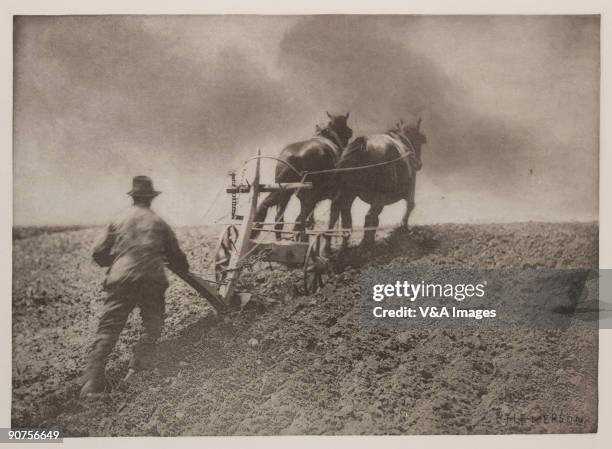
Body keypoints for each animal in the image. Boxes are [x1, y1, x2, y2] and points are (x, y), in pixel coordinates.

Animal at [328, 117, 428, 250]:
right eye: (420, 140)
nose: (419, 164)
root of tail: (363, 144)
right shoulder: (411, 185)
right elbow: (410, 205)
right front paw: (403, 226)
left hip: (349, 191)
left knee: (340, 211)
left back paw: (339, 245)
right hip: (379, 195)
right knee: (369, 215)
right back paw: (366, 243)